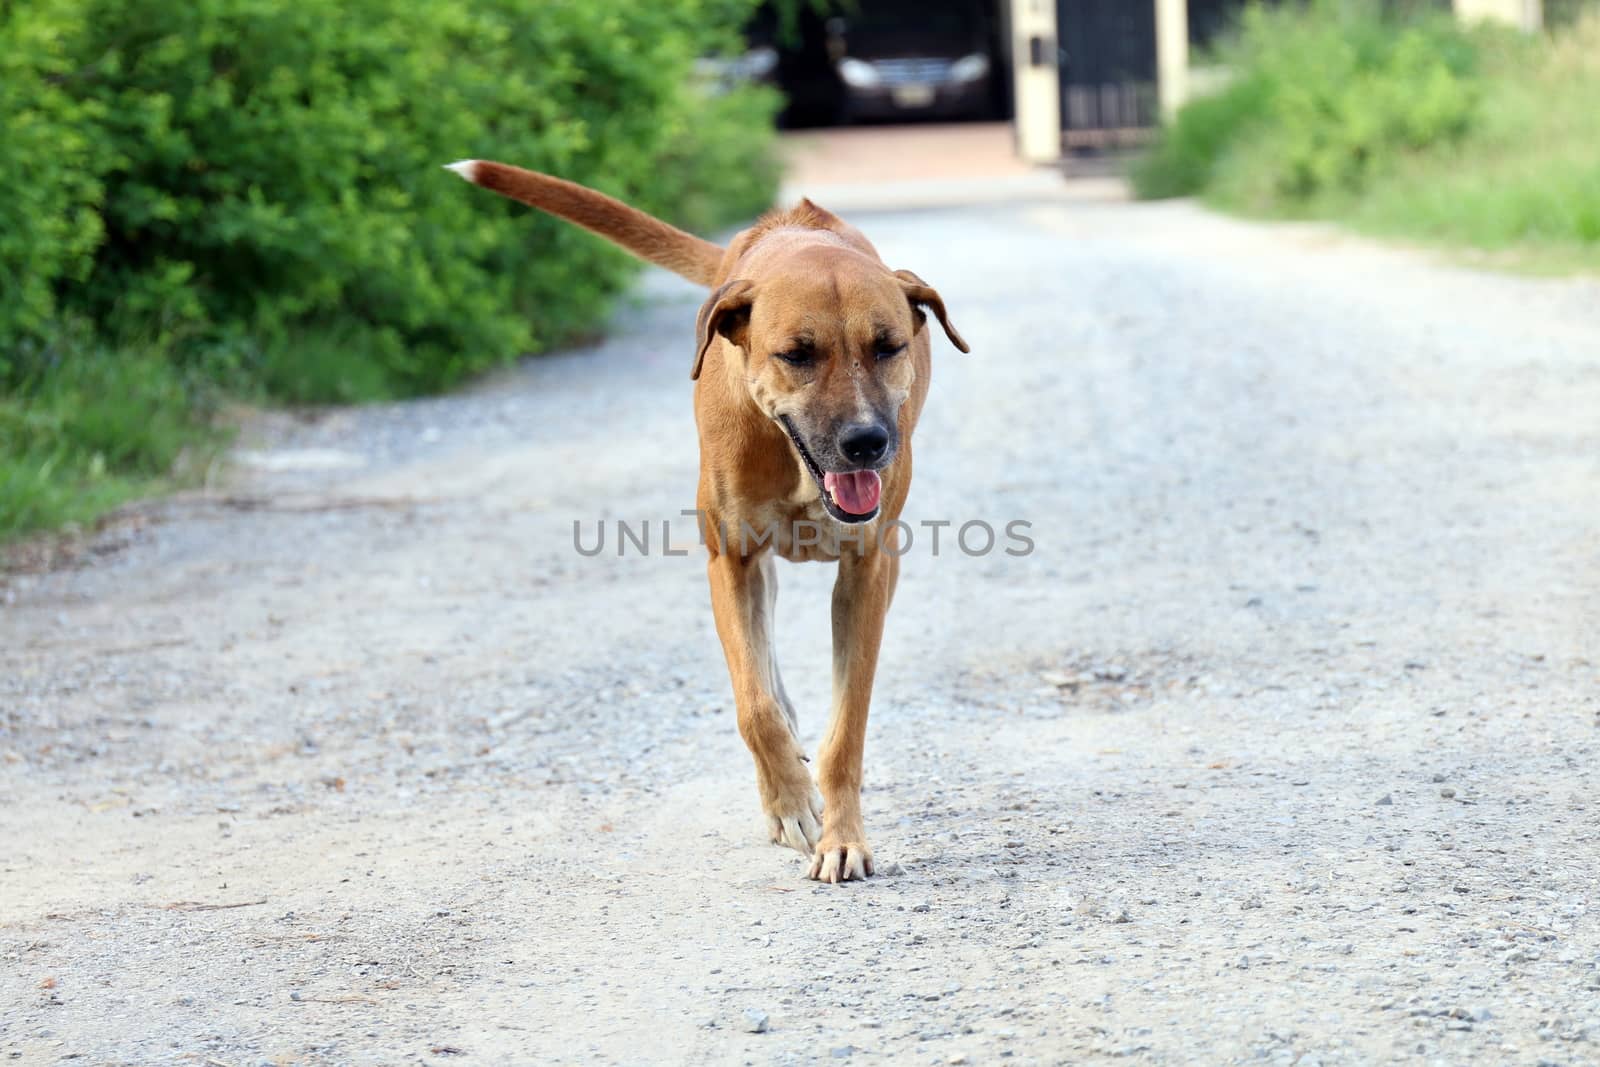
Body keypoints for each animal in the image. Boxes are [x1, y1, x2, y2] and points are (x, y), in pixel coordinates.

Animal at [448, 160, 960, 883]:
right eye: (797, 354)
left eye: (888, 346)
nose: (866, 442)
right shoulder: (731, 562)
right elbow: (755, 708)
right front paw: (792, 803)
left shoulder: (867, 570)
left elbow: (847, 727)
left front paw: (841, 836)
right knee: (764, 668)